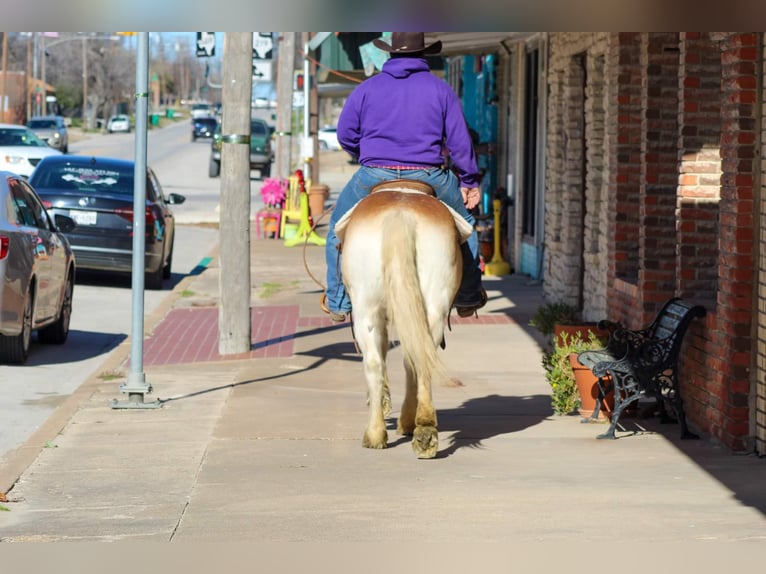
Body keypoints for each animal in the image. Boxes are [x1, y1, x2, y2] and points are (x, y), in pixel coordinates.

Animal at [336, 180, 474, 460]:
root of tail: (401, 215)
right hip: (431, 306)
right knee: (418, 358)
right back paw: (424, 429)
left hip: (366, 309)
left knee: (375, 362)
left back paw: (377, 433)